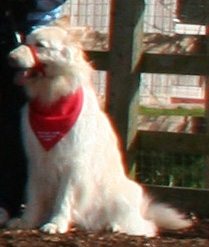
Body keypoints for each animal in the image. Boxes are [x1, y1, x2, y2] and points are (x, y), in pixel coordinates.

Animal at [7, 24, 193, 236]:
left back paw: (115, 226)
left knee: (145, 226)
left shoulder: (73, 164)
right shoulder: (37, 162)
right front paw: (27, 221)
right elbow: (34, 196)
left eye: (40, 45)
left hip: (127, 195)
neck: (53, 102)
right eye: (25, 41)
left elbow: (64, 199)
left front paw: (56, 223)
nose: (9, 57)